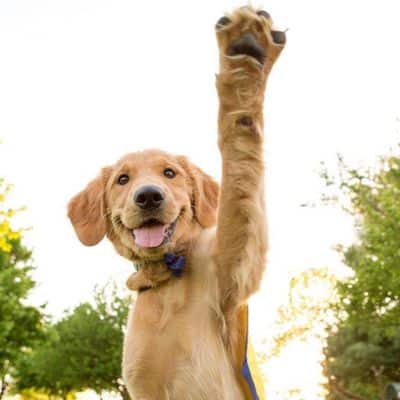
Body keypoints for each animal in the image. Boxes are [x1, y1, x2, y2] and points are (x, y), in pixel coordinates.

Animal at [69, 7, 284, 400]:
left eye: (169, 173)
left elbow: (240, 177)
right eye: (122, 179)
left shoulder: (236, 271)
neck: (166, 278)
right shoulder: (140, 387)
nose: (149, 196)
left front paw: (244, 60)